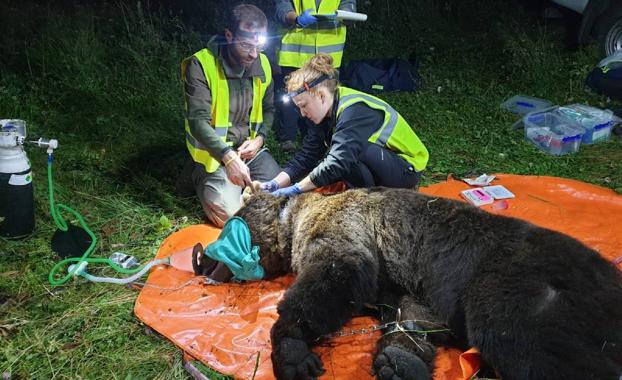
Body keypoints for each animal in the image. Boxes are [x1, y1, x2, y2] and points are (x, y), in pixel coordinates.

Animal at [214, 188, 622, 380]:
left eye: (230, 224)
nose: (206, 261)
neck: (294, 220)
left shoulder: (343, 230)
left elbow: (334, 277)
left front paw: (292, 346)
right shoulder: (410, 286)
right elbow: (414, 317)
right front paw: (399, 361)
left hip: (522, 288)